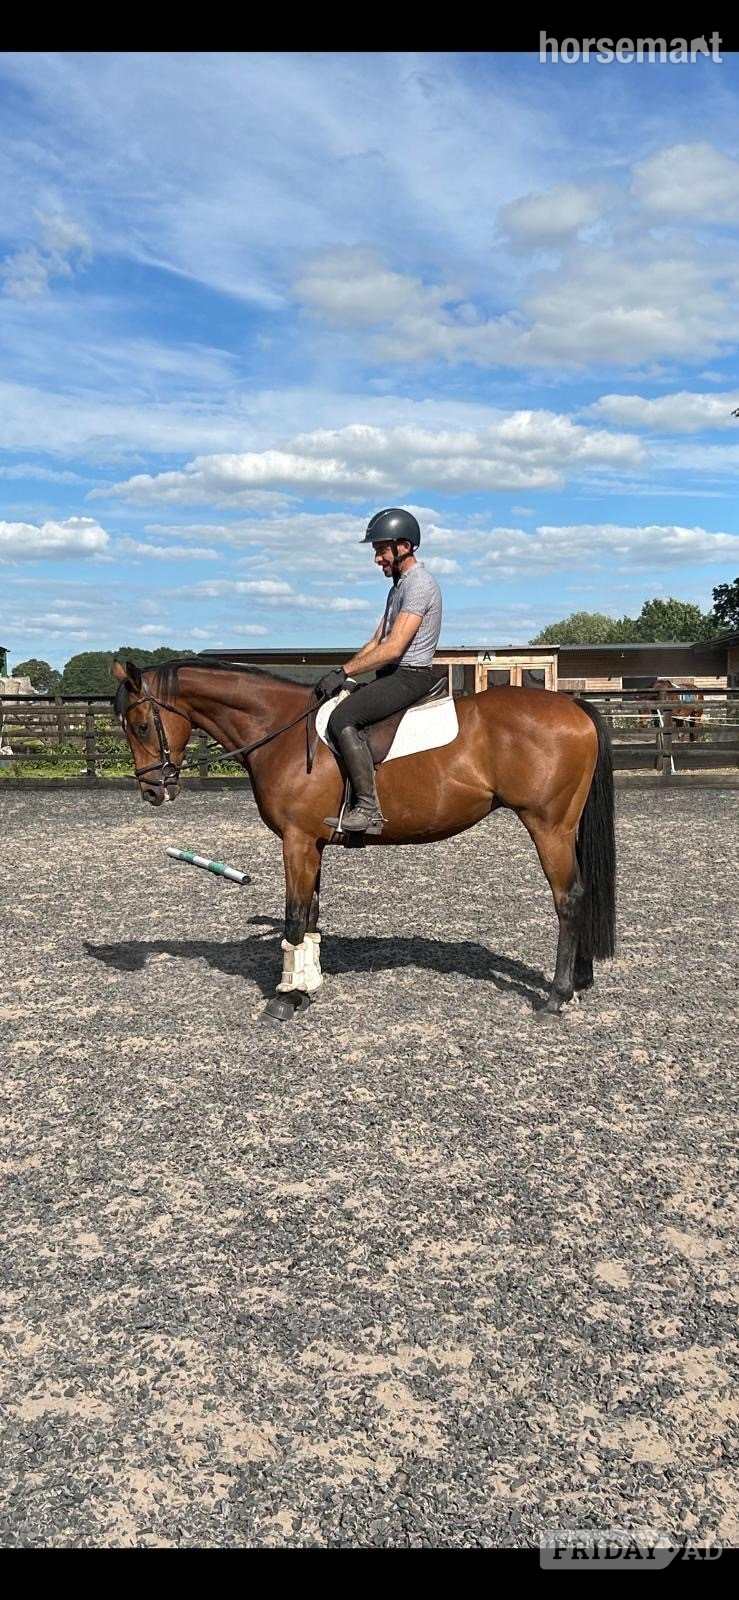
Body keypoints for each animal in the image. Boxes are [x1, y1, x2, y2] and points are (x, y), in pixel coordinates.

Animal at [112, 658, 616, 1024]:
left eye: (140, 726)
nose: (152, 791)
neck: (280, 730)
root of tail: (573, 707)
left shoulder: (296, 841)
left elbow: (294, 917)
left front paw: (284, 997)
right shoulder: (311, 843)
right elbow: (311, 915)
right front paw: (306, 989)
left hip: (548, 827)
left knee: (569, 898)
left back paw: (556, 997)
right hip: (563, 829)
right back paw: (580, 980)